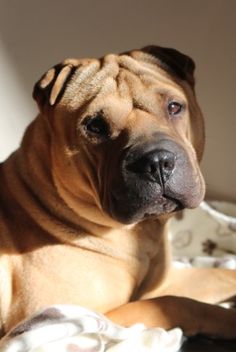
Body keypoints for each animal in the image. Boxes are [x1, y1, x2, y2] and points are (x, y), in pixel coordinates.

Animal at [0, 45, 236, 340]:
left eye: (174, 107)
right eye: (95, 126)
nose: (157, 162)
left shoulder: (167, 280)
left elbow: (223, 275)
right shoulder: (73, 316)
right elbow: (179, 304)